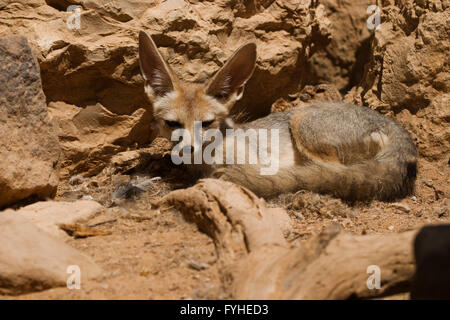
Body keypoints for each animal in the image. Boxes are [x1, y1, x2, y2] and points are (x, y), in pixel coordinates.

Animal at [138, 30, 418, 200]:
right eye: (172, 123)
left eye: (207, 123)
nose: (188, 149)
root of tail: (394, 124)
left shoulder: (257, 162)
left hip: (302, 124)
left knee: (333, 174)